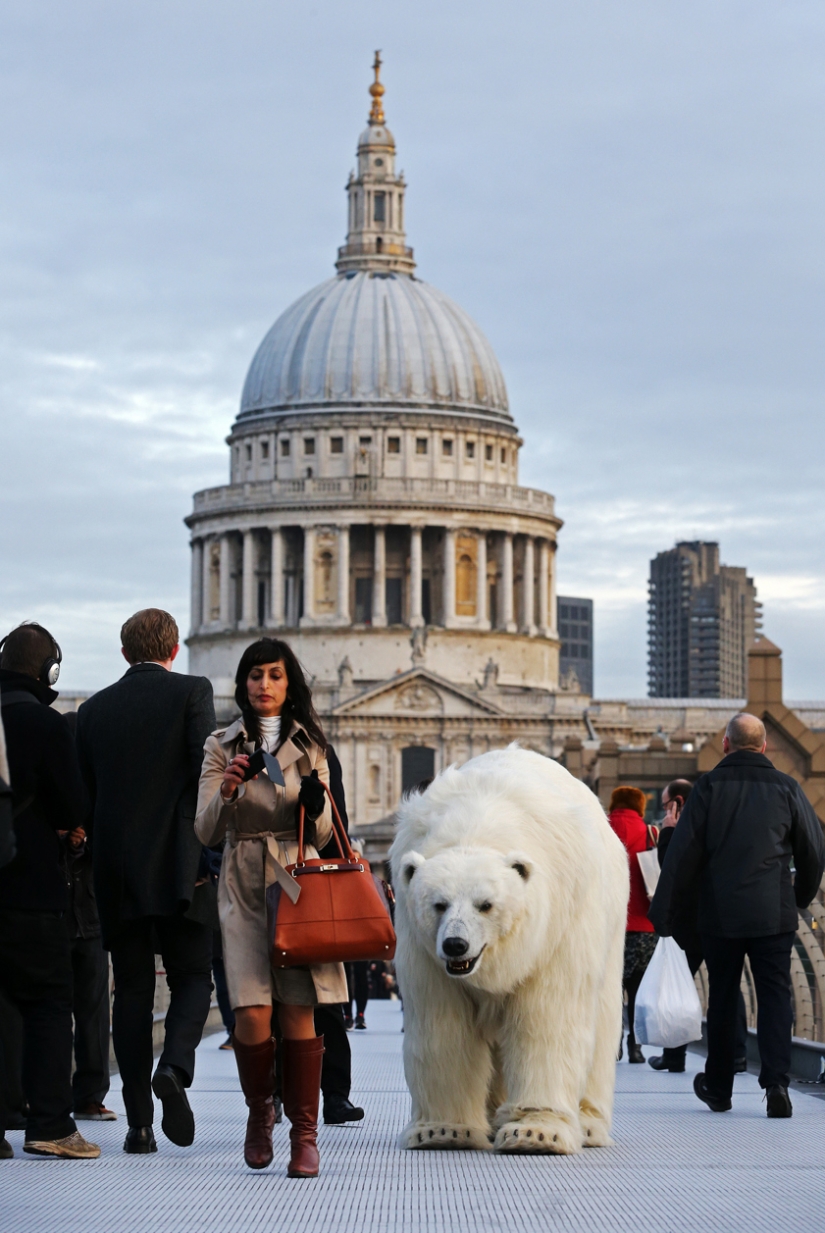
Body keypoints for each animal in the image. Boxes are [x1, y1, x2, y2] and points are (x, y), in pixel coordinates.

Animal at [390, 745, 629, 1155]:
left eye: (485, 905)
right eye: (439, 904)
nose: (456, 945)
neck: (480, 818)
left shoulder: (557, 928)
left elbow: (547, 1019)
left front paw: (537, 1133)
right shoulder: (425, 953)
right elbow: (443, 1025)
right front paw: (443, 1130)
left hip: (610, 925)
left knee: (602, 1021)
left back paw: (588, 1125)